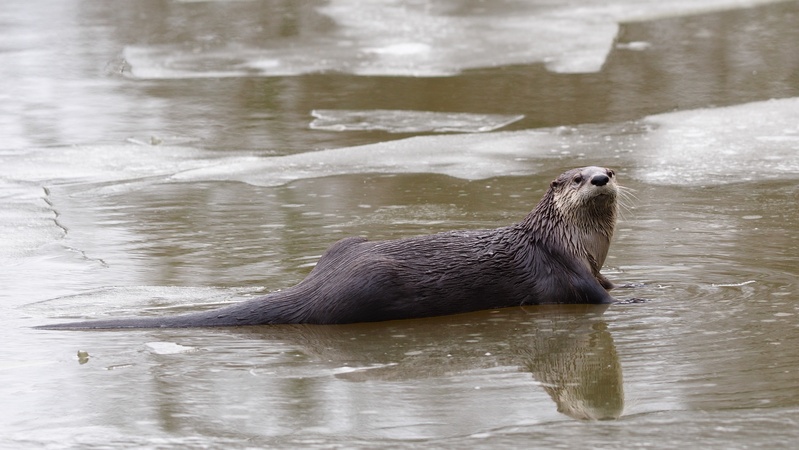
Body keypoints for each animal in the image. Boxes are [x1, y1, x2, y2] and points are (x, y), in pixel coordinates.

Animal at [37, 167, 620, 328]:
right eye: (575, 178)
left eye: (609, 171)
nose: (600, 178)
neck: (584, 246)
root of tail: (317, 283)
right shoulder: (564, 269)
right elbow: (597, 299)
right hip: (370, 285)